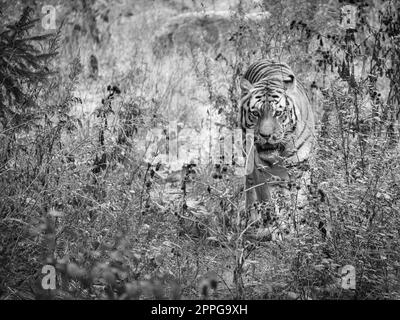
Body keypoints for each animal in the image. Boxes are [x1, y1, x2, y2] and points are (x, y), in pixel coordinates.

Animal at [239, 59, 314, 235]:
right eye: (256, 113)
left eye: (278, 113)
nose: (265, 135)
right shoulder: (261, 171)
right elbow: (268, 201)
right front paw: (278, 230)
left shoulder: (302, 167)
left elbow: (299, 201)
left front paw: (298, 229)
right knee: (250, 185)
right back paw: (251, 219)